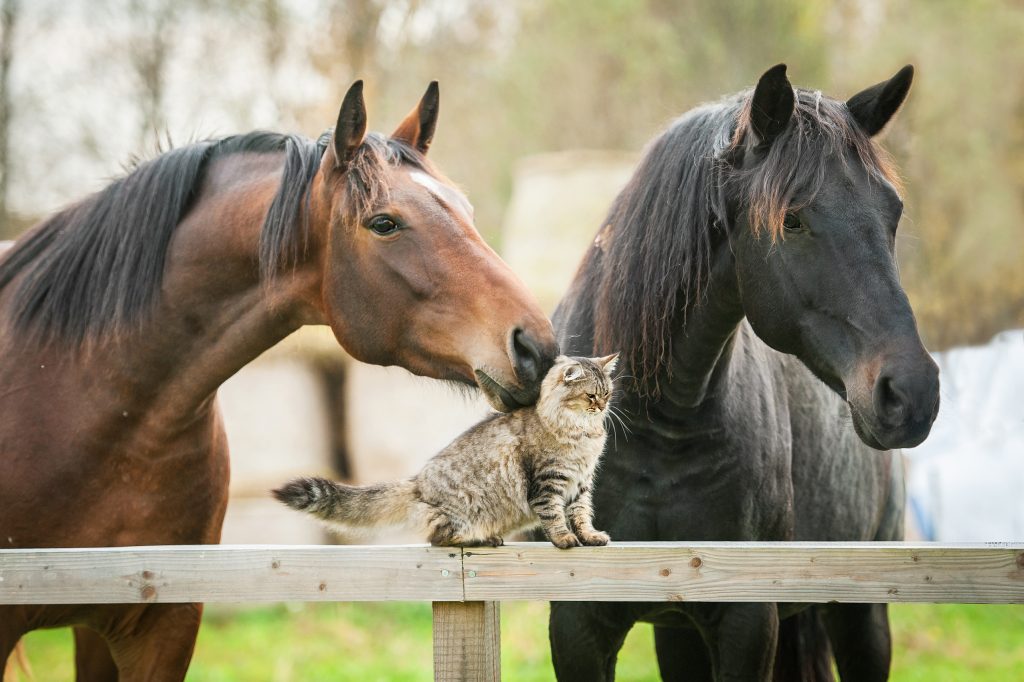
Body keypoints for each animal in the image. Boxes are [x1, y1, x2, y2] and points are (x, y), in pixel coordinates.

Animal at [274, 350, 614, 548]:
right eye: (590, 396)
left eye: (607, 393)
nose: (603, 407)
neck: (582, 433)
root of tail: (417, 483)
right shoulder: (547, 483)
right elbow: (555, 516)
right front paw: (565, 540)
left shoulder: (581, 485)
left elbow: (581, 515)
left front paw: (590, 537)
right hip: (457, 513)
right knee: (438, 538)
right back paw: (479, 540)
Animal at [548, 65, 937, 679]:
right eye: (792, 219)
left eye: (892, 212)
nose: (912, 393)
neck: (660, 426)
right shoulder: (578, 624)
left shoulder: (747, 621)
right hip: (679, 632)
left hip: (863, 619)